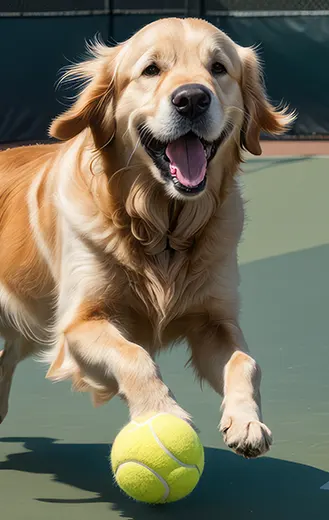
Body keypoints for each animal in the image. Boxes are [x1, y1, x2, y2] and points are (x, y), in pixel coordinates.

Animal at [0, 17, 292, 456]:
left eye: (218, 68)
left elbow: (246, 362)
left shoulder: (213, 321)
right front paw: (162, 413)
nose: (192, 99)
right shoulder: (79, 323)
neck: (162, 228)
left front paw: (246, 421)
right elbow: (132, 354)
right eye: (151, 69)